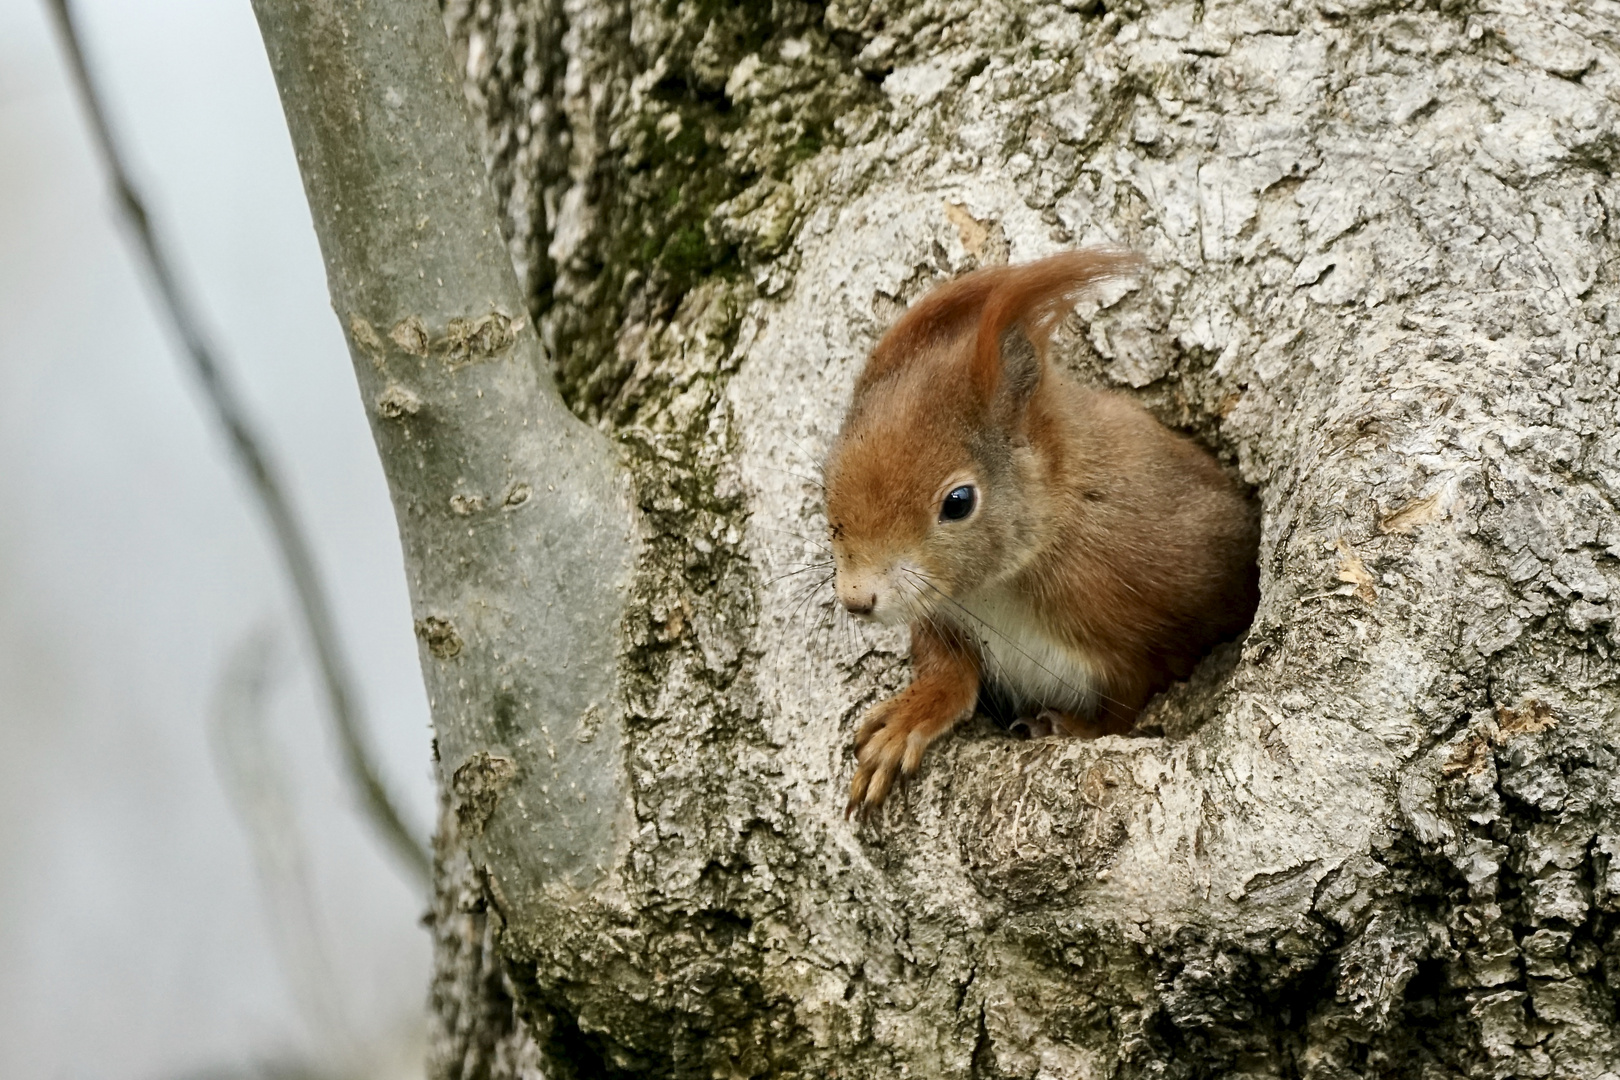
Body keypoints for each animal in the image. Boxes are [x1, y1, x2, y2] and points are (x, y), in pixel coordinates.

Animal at [829, 249, 1257, 816]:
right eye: (830, 468)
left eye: (958, 502)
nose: (857, 599)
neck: (997, 588)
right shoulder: (944, 609)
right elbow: (947, 669)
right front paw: (914, 712)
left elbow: (1128, 703)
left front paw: (1071, 727)